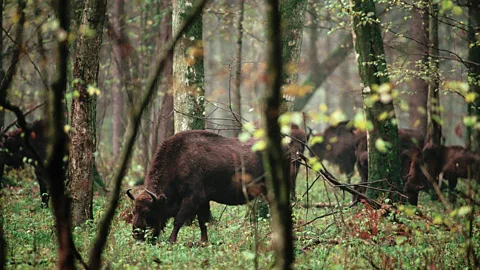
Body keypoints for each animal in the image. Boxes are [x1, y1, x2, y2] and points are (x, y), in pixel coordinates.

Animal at [124, 128, 304, 243]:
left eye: (148, 211)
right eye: (134, 210)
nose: (136, 235)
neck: (178, 160)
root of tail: (286, 148)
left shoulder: (192, 199)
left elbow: (179, 220)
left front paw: (171, 241)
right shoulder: (203, 201)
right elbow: (202, 222)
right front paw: (203, 242)